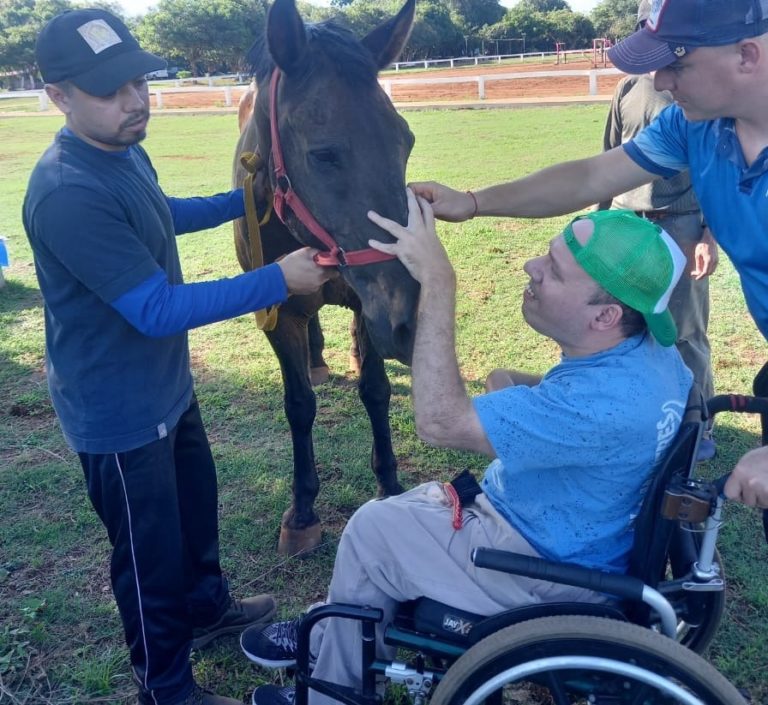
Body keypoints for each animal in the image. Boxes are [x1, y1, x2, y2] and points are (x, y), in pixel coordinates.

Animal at [232, 0, 420, 556]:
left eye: (406, 141)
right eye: (323, 154)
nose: (411, 320)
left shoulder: (370, 305)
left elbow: (375, 390)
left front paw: (390, 485)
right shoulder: (278, 314)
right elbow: (299, 406)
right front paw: (301, 511)